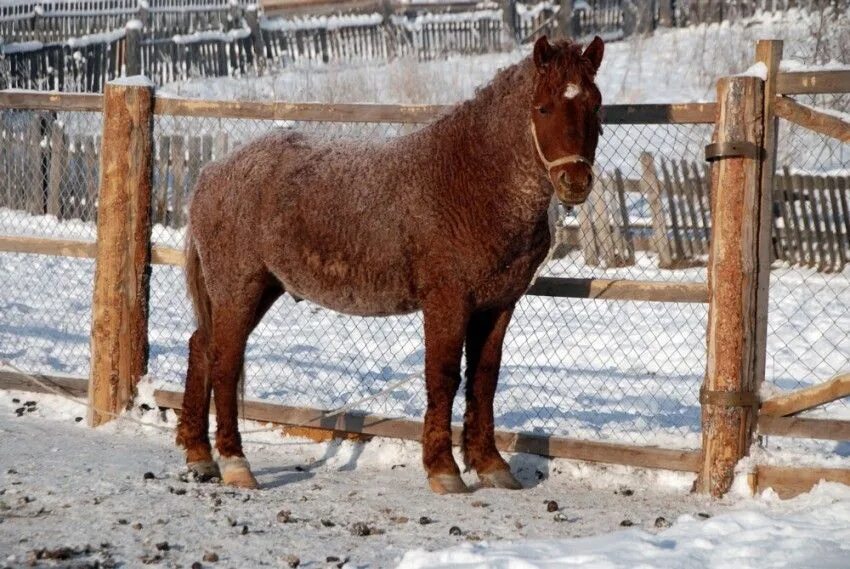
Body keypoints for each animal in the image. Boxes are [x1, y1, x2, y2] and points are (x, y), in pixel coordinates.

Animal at [176, 34, 604, 492]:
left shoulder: (498, 305)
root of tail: (211, 173)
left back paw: (200, 456)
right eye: (543, 107)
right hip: (238, 287)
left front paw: (491, 465)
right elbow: (444, 376)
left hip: (260, 289)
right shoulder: (447, 301)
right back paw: (235, 463)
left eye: (595, 104)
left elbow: (484, 379)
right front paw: (443, 469)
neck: (471, 178)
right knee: (225, 360)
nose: (575, 182)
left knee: (202, 347)